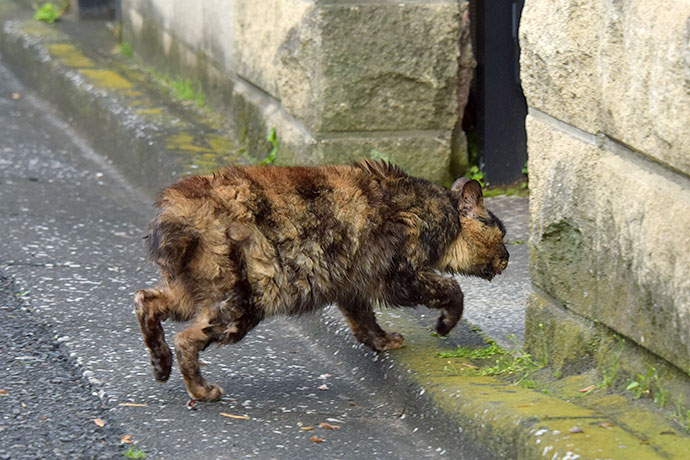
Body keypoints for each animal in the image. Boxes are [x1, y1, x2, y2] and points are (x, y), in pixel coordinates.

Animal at [133, 160, 506, 400]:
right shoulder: (399, 277)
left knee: (144, 300)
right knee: (185, 338)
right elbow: (452, 290)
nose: (508, 257)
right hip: (244, 301)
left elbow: (364, 321)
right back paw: (202, 391)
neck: (441, 213)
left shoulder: (353, 285)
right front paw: (444, 325)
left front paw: (383, 341)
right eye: (501, 235)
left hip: (196, 292)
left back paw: (160, 365)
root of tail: (181, 210)